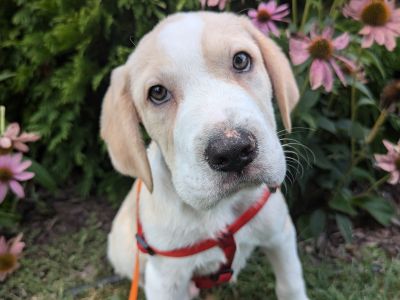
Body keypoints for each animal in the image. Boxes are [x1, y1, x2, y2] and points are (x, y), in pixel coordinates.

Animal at [101, 11, 308, 300]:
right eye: (157, 93)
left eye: (241, 60)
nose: (233, 151)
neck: (222, 209)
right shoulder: (164, 279)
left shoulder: (280, 233)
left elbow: (290, 285)